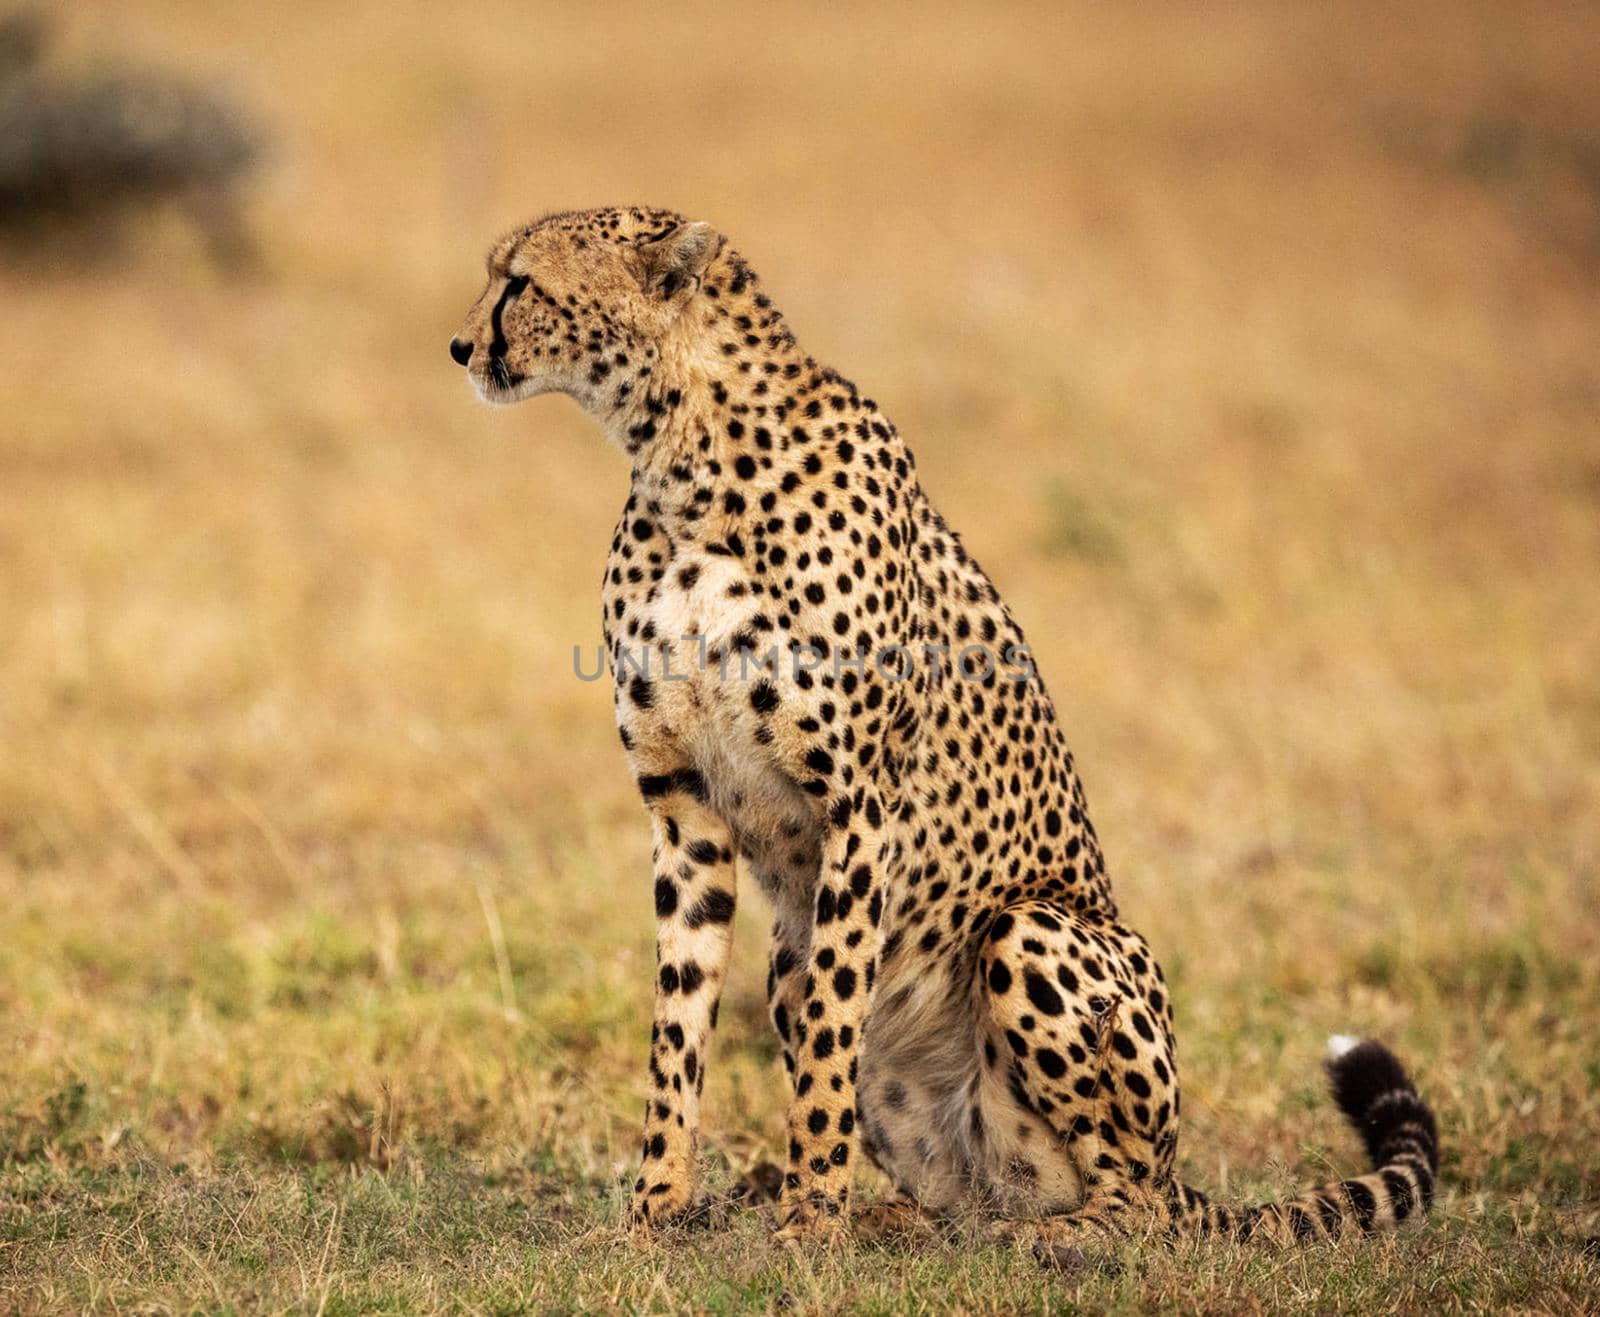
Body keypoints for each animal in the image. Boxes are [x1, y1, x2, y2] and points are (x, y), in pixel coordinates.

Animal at [448, 206, 1440, 1254]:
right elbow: (677, 1029)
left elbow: (831, 1037)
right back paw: (903, 1215)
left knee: (1126, 1194)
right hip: (798, 961)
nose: (461, 346)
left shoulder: (858, 807)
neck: (685, 460)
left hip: (1032, 931)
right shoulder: (684, 810)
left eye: (521, 282)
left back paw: (1060, 1234)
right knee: (963, 1182)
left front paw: (808, 1222)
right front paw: (656, 1210)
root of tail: (1179, 1178)